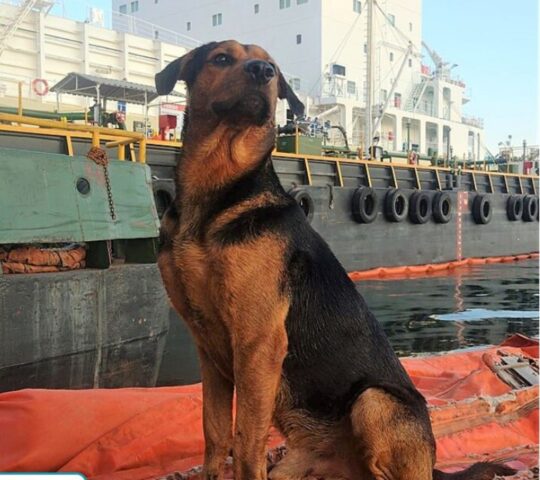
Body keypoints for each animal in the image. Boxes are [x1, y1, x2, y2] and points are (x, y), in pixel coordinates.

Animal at [155, 40, 516, 480]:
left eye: (272, 66)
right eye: (221, 58)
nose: (262, 72)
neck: (219, 193)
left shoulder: (259, 342)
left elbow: (246, 443)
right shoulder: (209, 348)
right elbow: (215, 432)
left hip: (373, 401)